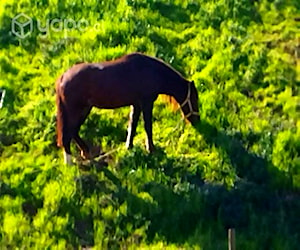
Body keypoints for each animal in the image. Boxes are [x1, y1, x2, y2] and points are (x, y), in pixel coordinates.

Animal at [56, 52, 200, 164]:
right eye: (194, 99)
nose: (197, 121)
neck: (152, 71)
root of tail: (63, 78)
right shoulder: (146, 103)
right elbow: (148, 126)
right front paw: (151, 149)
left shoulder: (136, 104)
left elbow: (133, 125)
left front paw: (129, 146)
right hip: (76, 111)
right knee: (67, 134)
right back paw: (69, 162)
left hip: (85, 109)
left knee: (73, 131)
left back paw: (86, 153)